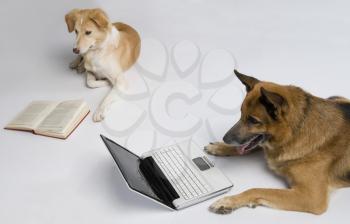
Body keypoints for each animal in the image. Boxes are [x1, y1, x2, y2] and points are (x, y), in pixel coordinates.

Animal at [205, 70, 350, 215]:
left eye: (253, 121)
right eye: (241, 114)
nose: (225, 139)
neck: (295, 132)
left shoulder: (311, 197)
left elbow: (256, 189)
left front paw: (229, 201)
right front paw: (219, 147)